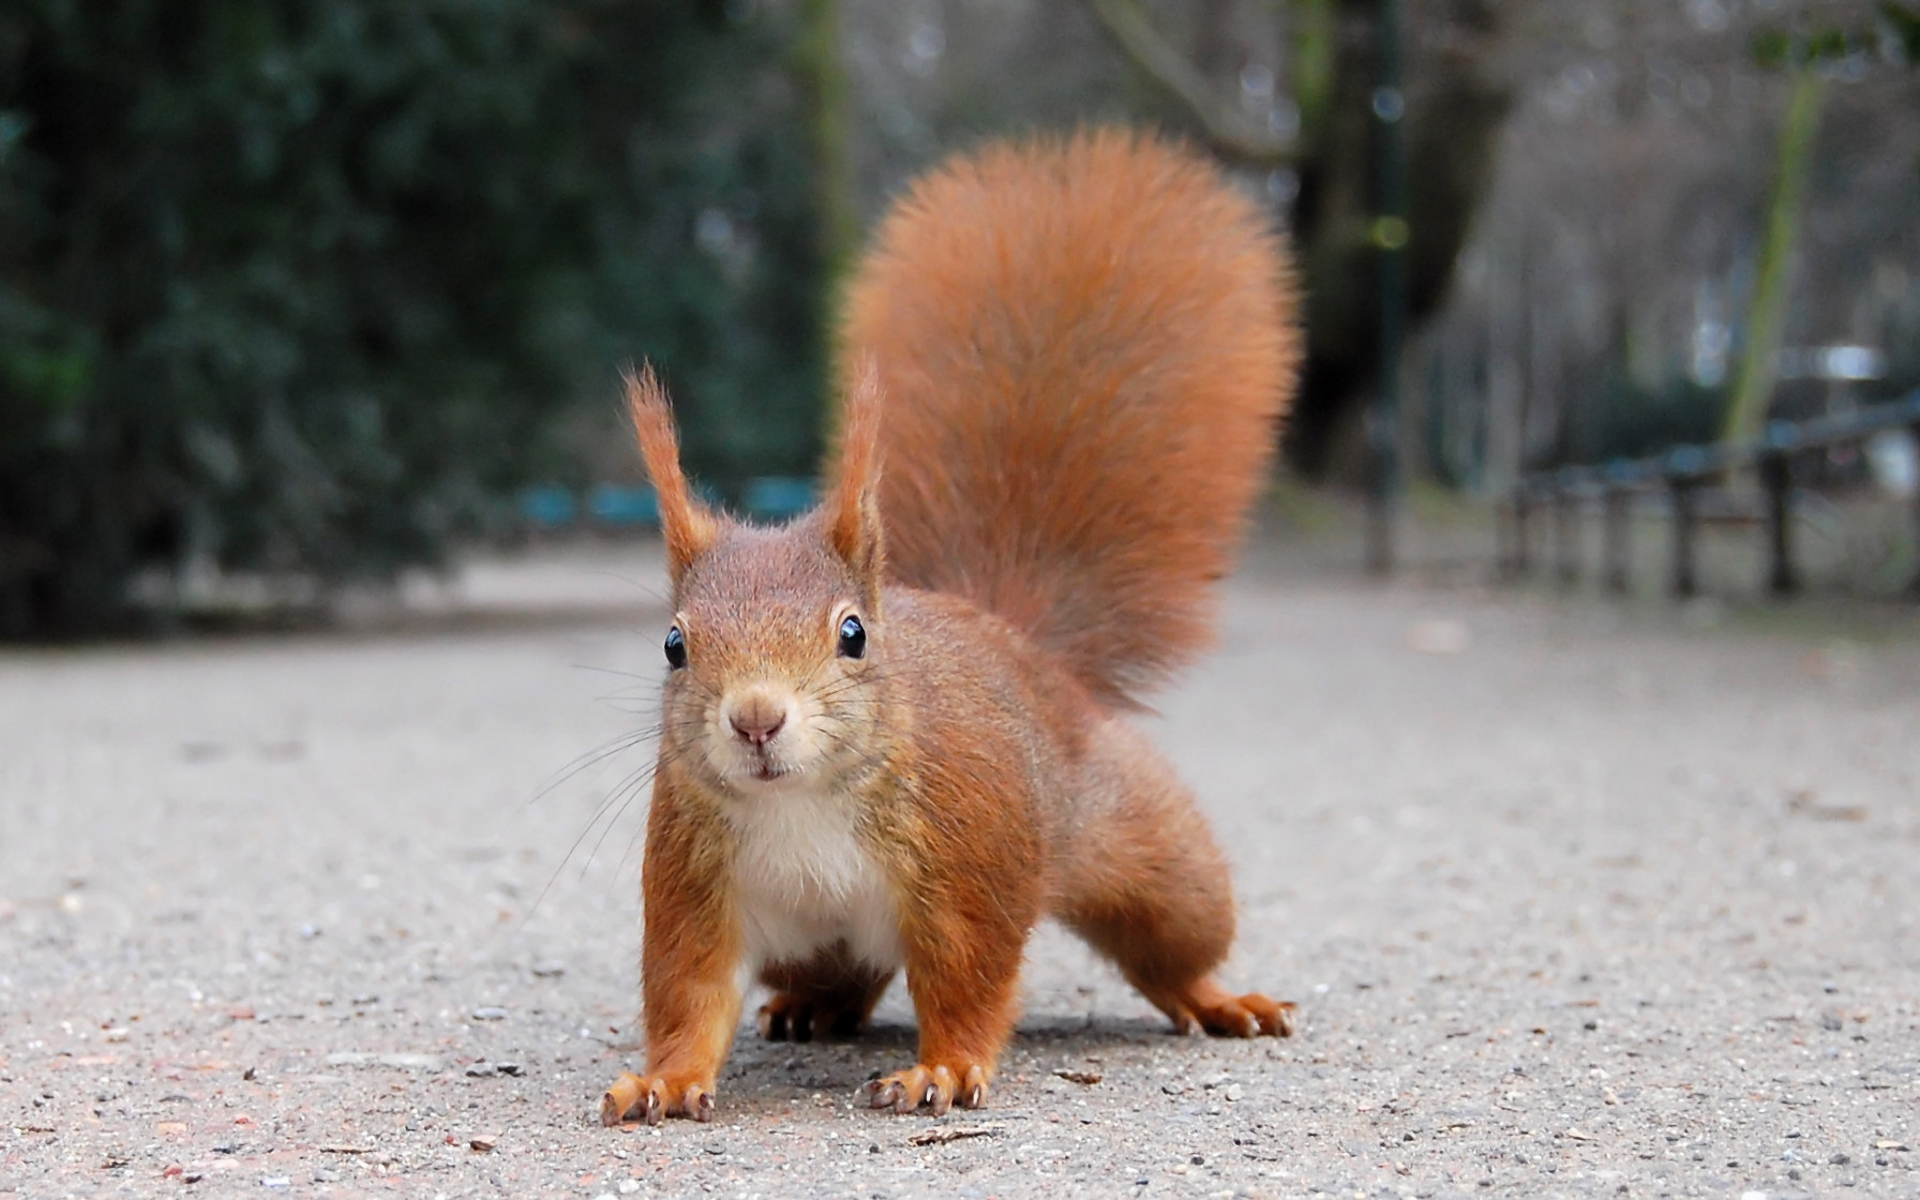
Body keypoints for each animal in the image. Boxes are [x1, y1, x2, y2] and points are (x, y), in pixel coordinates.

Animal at [601, 128, 1302, 1126]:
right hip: (811, 941)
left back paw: (1218, 999)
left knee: (1173, 942)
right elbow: (688, 994)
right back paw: (811, 1009)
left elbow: (966, 978)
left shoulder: (970, 862)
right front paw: (662, 1078)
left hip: (1150, 852)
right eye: (673, 645)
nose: (756, 719)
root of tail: (1018, 639)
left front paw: (941, 1068)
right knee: (843, 974)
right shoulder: (696, 885)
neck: (800, 802)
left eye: (854, 634)